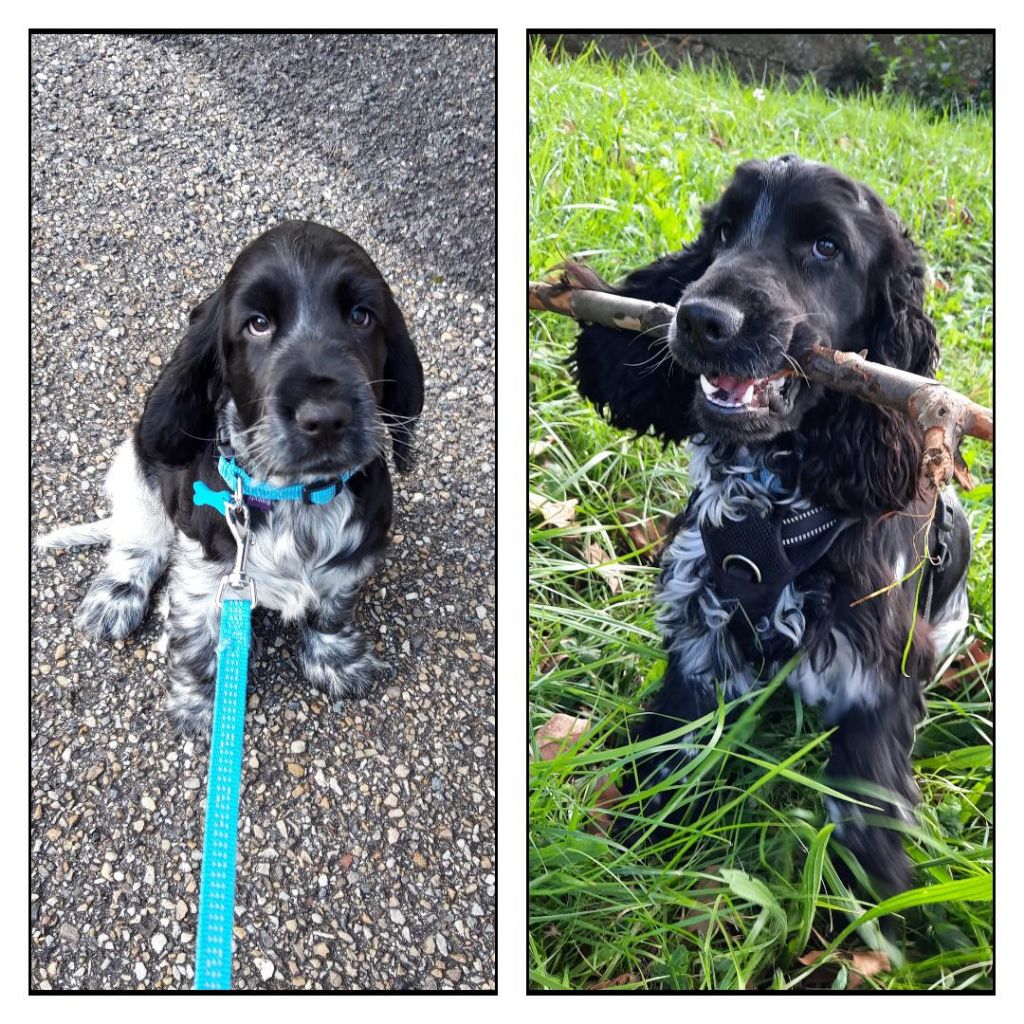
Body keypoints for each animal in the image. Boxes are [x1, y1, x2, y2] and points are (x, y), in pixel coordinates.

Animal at [38, 222, 423, 737]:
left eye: (362, 317)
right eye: (257, 324)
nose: (325, 417)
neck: (292, 494)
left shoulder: (351, 557)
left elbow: (332, 608)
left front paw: (336, 661)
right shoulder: (205, 574)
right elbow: (196, 641)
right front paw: (196, 709)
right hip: (134, 470)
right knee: (136, 544)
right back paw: (115, 598)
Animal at [573, 155, 970, 892]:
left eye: (826, 247)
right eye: (725, 231)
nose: (701, 320)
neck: (774, 504)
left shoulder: (877, 669)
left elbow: (868, 812)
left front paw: (879, 910)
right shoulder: (700, 635)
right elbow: (671, 758)